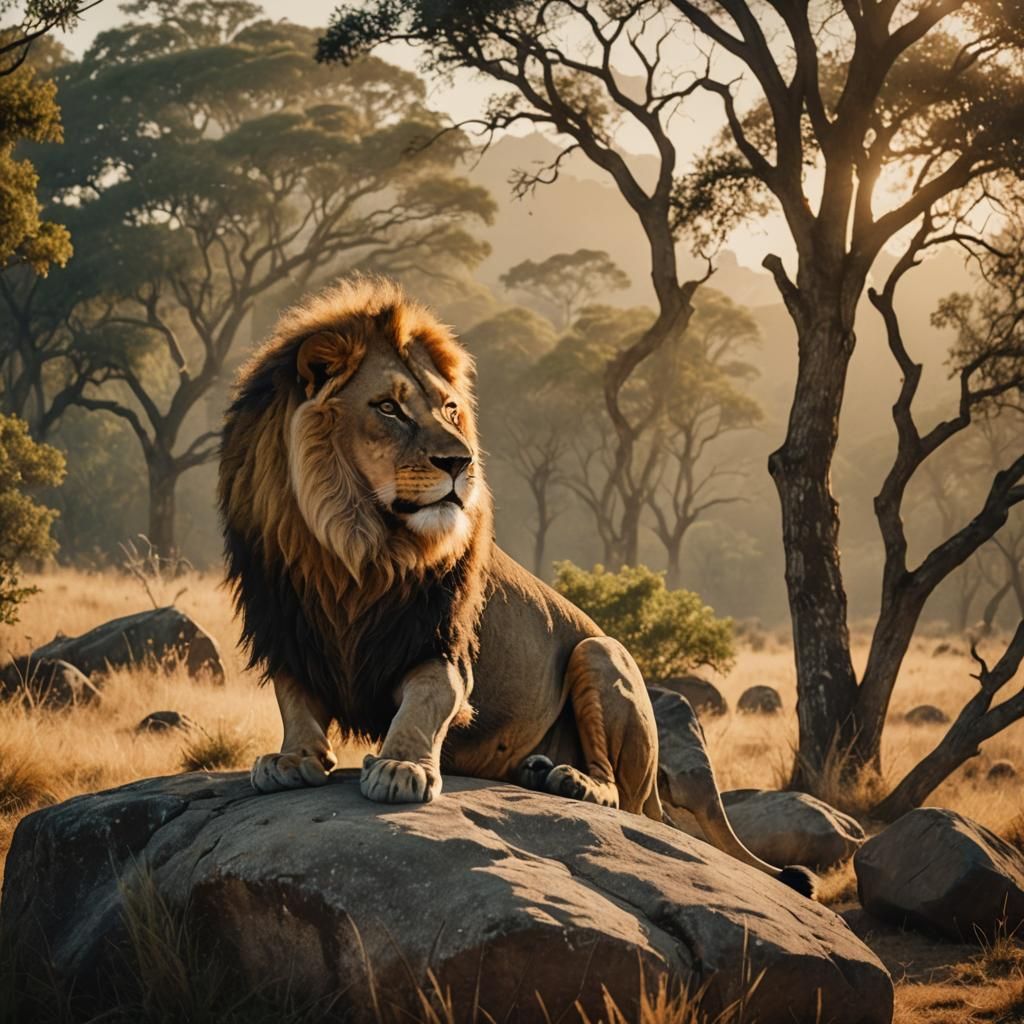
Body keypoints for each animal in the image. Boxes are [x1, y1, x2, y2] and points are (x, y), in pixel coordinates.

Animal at [218, 278, 814, 898]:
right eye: (387, 407)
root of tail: (656, 790)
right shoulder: (289, 630)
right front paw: (291, 759)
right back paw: (535, 769)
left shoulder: (442, 644)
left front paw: (402, 766)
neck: (353, 548)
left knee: (619, 796)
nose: (460, 462)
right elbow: (294, 700)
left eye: (449, 409)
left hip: (599, 653)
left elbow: (426, 701)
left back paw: (569, 780)